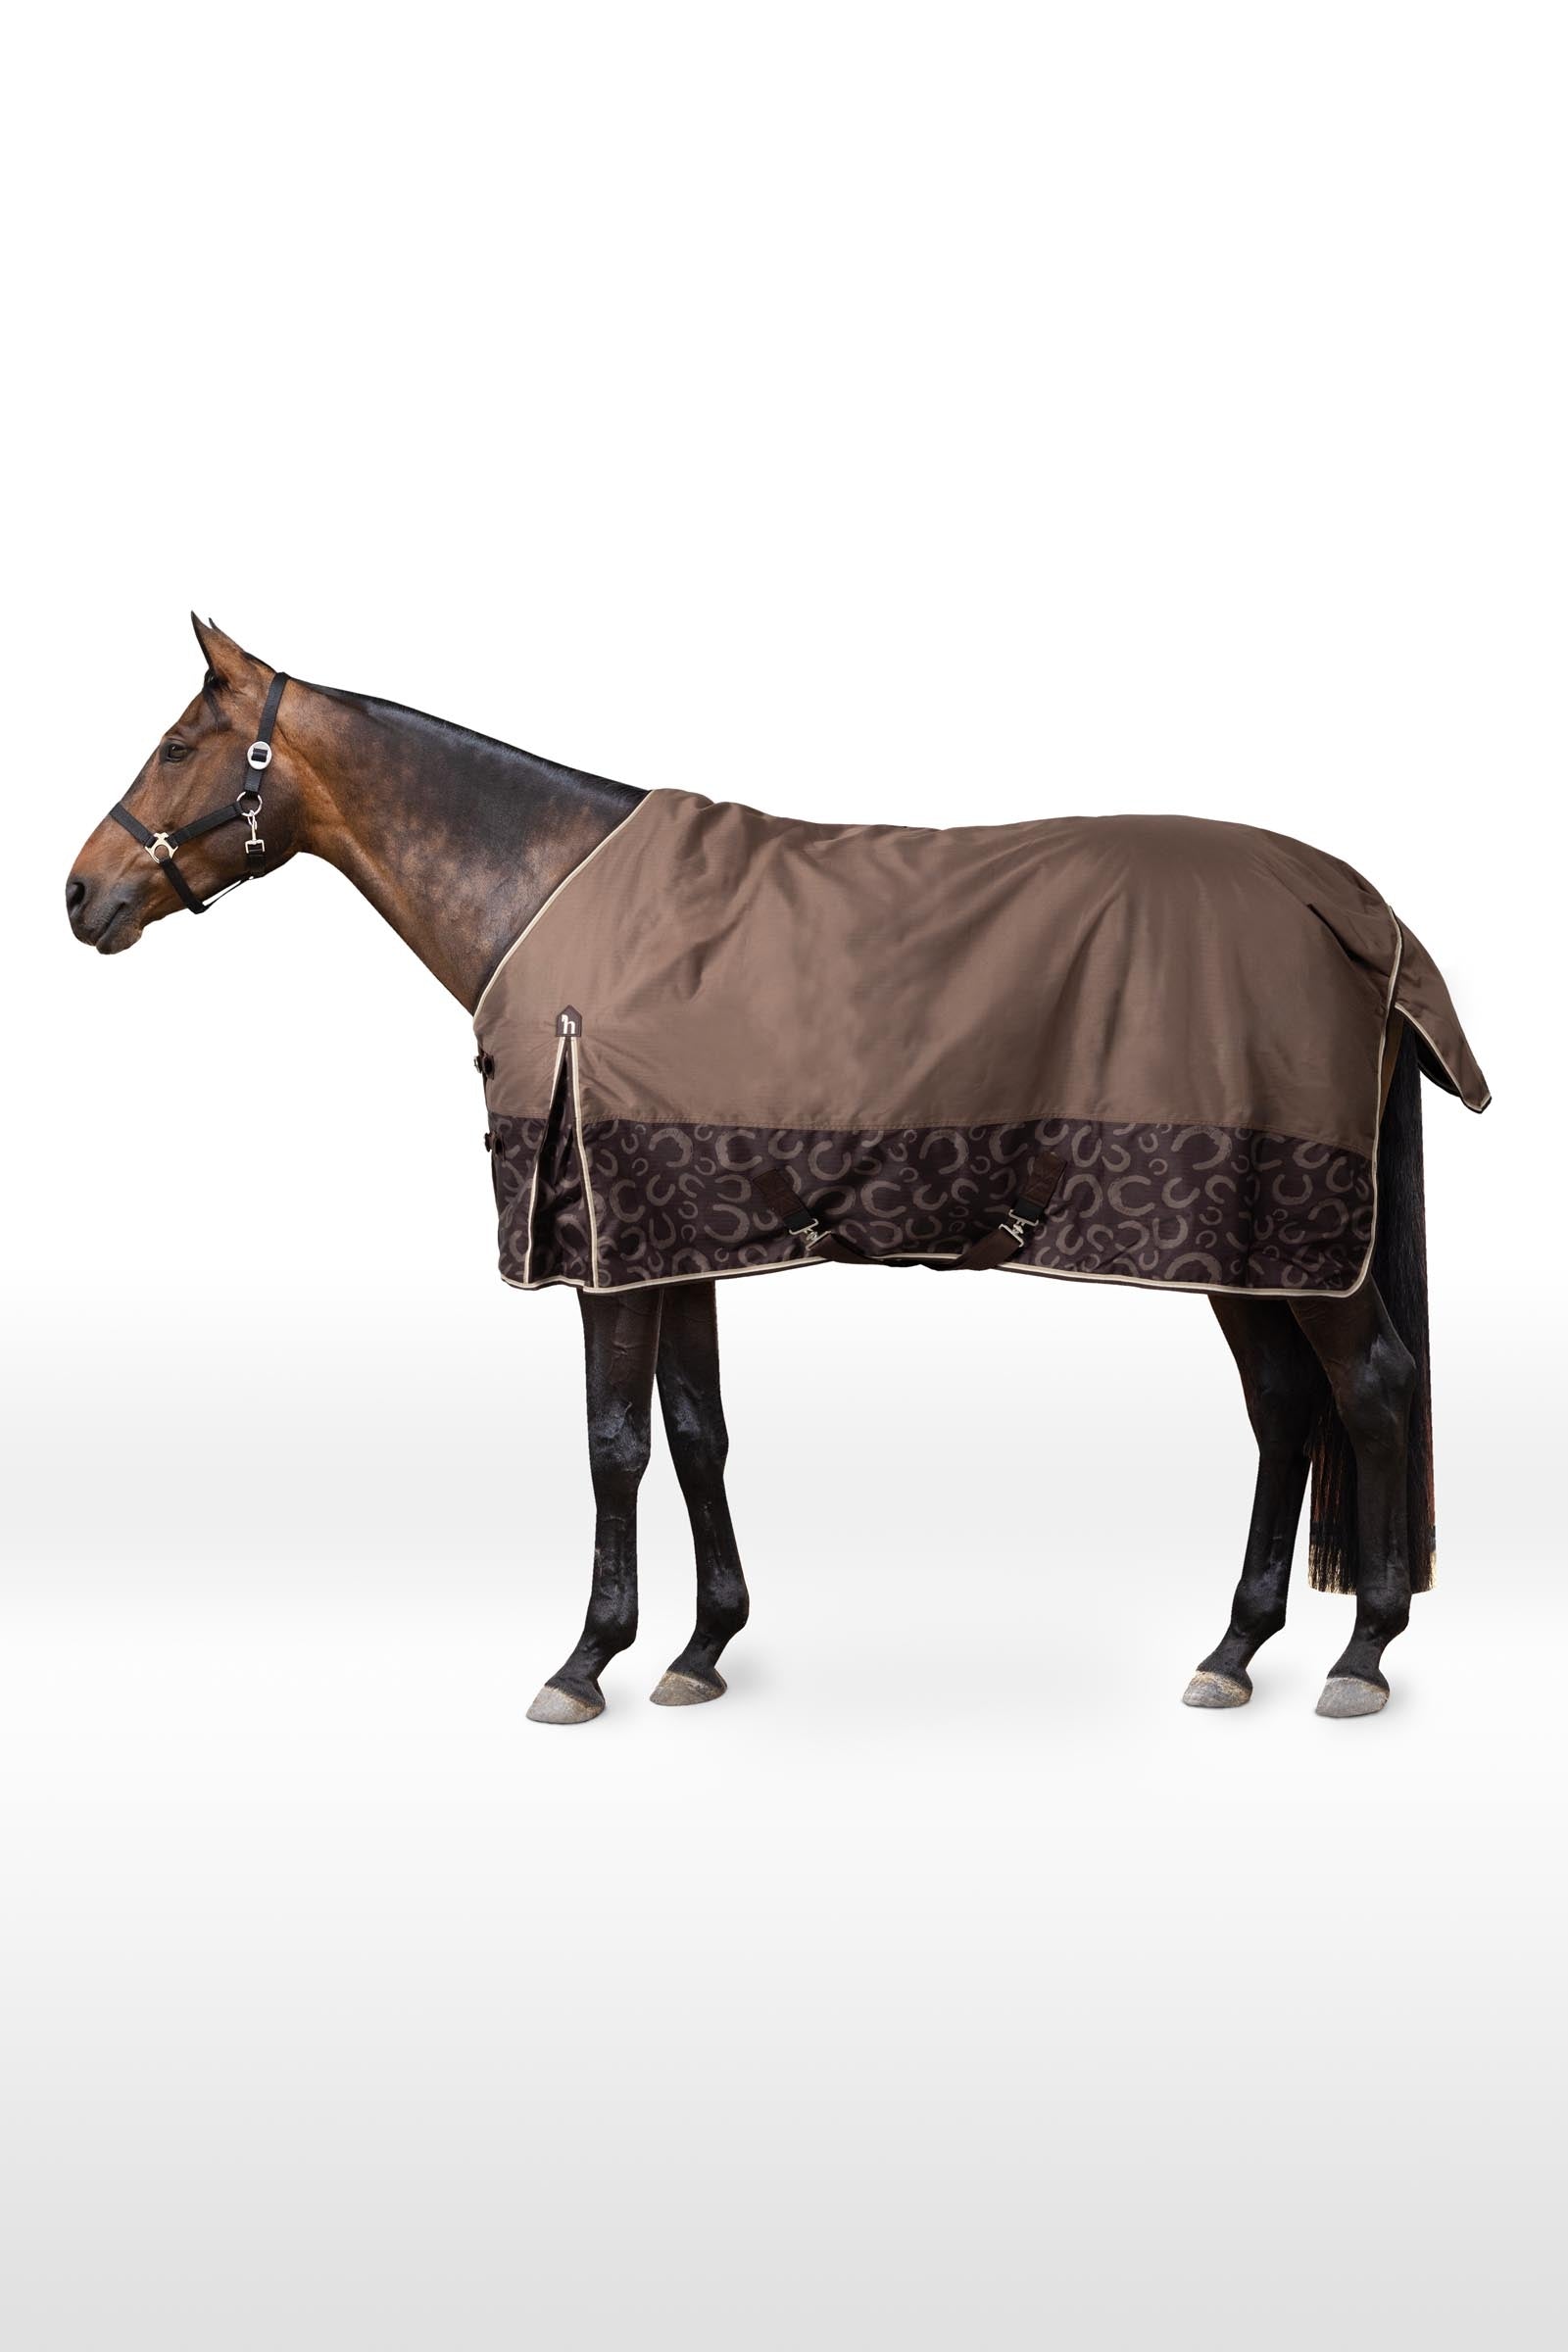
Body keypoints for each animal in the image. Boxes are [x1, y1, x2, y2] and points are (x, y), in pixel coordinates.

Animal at [65, 618, 1487, 1725]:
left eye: (179, 746)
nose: (81, 895)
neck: (549, 889)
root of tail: (1354, 909)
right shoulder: (673, 1232)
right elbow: (697, 1432)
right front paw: (701, 1649)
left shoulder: (605, 1248)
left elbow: (613, 1445)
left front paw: (586, 1662)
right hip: (1239, 1244)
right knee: (1285, 1410)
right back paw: (1236, 1649)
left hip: (1281, 1233)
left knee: (1368, 1389)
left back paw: (1361, 1654)